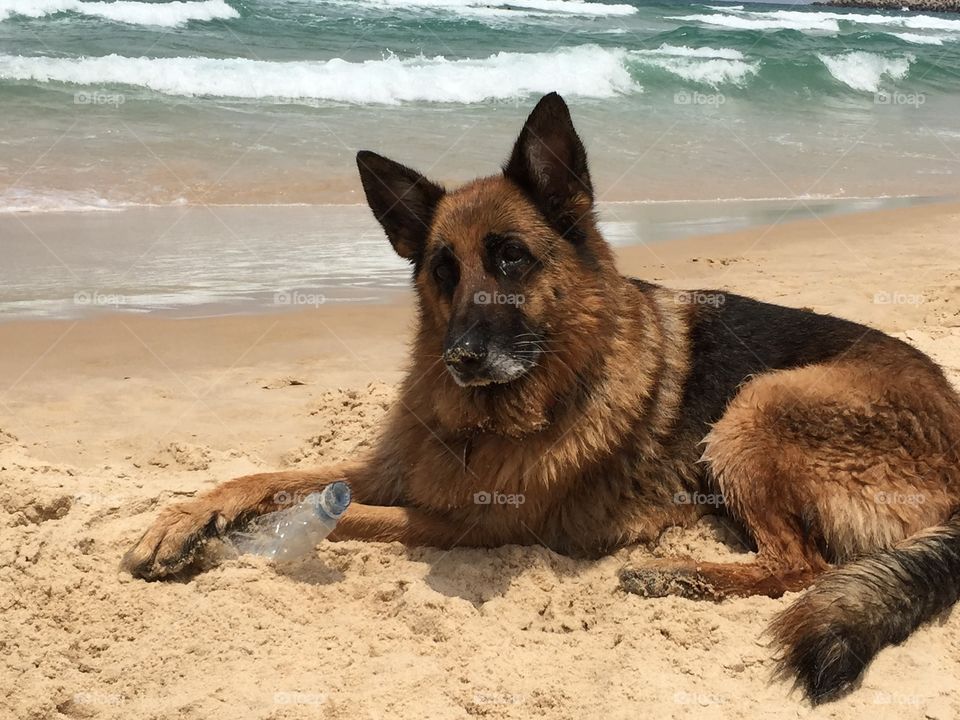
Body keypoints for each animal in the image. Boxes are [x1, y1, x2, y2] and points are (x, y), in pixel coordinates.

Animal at [124, 94, 960, 704]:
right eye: (442, 269)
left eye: (512, 258)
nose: (462, 358)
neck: (497, 414)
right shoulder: (400, 470)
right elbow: (269, 477)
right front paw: (182, 522)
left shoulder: (466, 525)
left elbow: (345, 516)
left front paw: (235, 541)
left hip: (757, 405)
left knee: (801, 565)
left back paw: (680, 576)